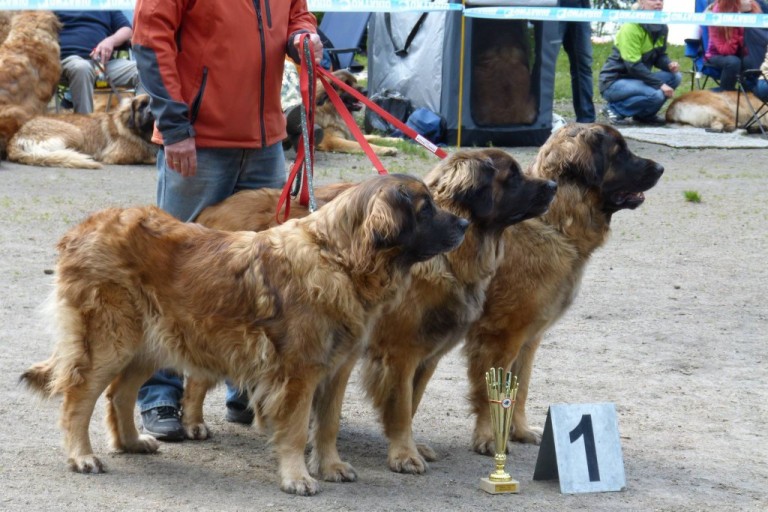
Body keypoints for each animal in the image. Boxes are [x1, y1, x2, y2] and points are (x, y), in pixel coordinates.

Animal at [7, 93, 157, 169]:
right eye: (142, 106)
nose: (152, 113)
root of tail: (16, 136)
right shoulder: (118, 155)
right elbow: (148, 158)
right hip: (76, 133)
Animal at [21, 173, 468, 496]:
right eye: (425, 209)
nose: (464, 222)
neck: (339, 258)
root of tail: (82, 229)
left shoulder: (337, 368)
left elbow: (327, 423)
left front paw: (331, 466)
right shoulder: (299, 372)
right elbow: (296, 427)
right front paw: (297, 476)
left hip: (152, 342)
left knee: (119, 393)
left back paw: (132, 442)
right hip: (110, 340)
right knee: (79, 396)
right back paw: (82, 456)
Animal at [462, 124, 664, 452]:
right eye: (619, 152)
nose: (660, 168)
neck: (553, 224)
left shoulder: (528, 339)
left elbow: (520, 388)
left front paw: (518, 430)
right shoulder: (500, 337)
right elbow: (489, 391)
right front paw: (489, 437)